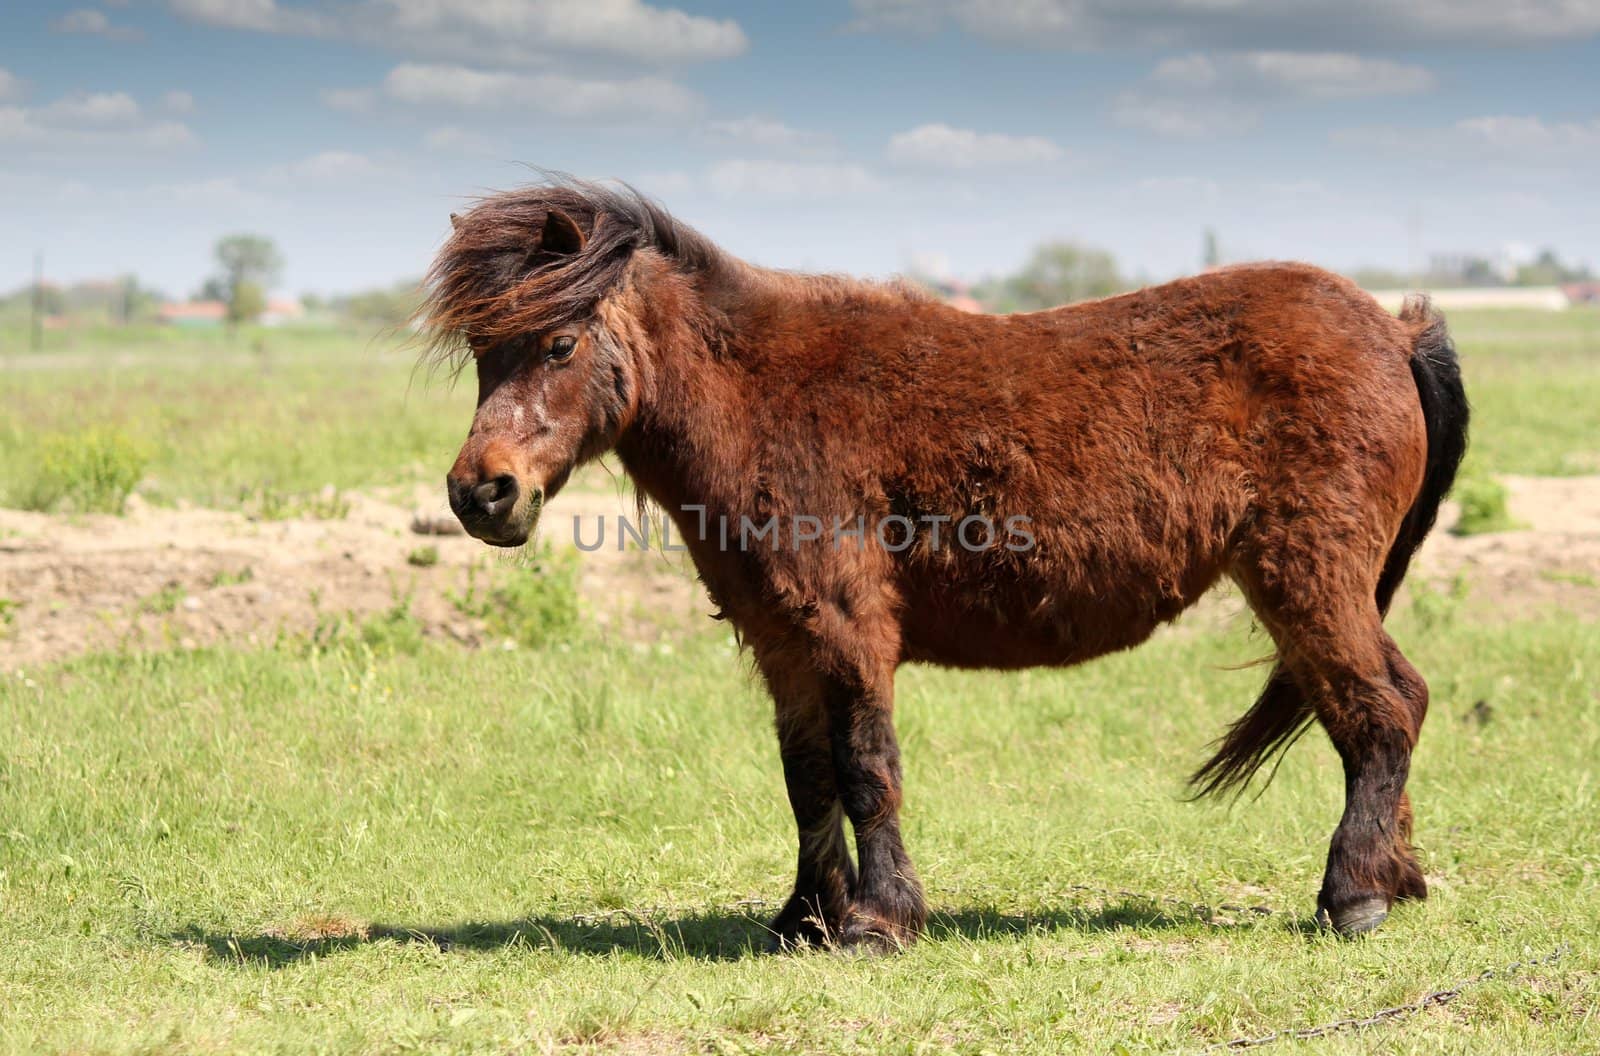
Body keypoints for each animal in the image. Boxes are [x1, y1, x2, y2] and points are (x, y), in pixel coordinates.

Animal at [422, 177, 1465, 953]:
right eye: (481, 348)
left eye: (559, 341)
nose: (482, 494)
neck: (763, 396)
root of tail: (1391, 330)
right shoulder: (783, 643)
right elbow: (808, 778)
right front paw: (804, 919)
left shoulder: (849, 631)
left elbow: (866, 769)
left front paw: (878, 921)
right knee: (1384, 706)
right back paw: (1398, 877)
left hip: (1306, 581)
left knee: (1381, 710)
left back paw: (1353, 896)